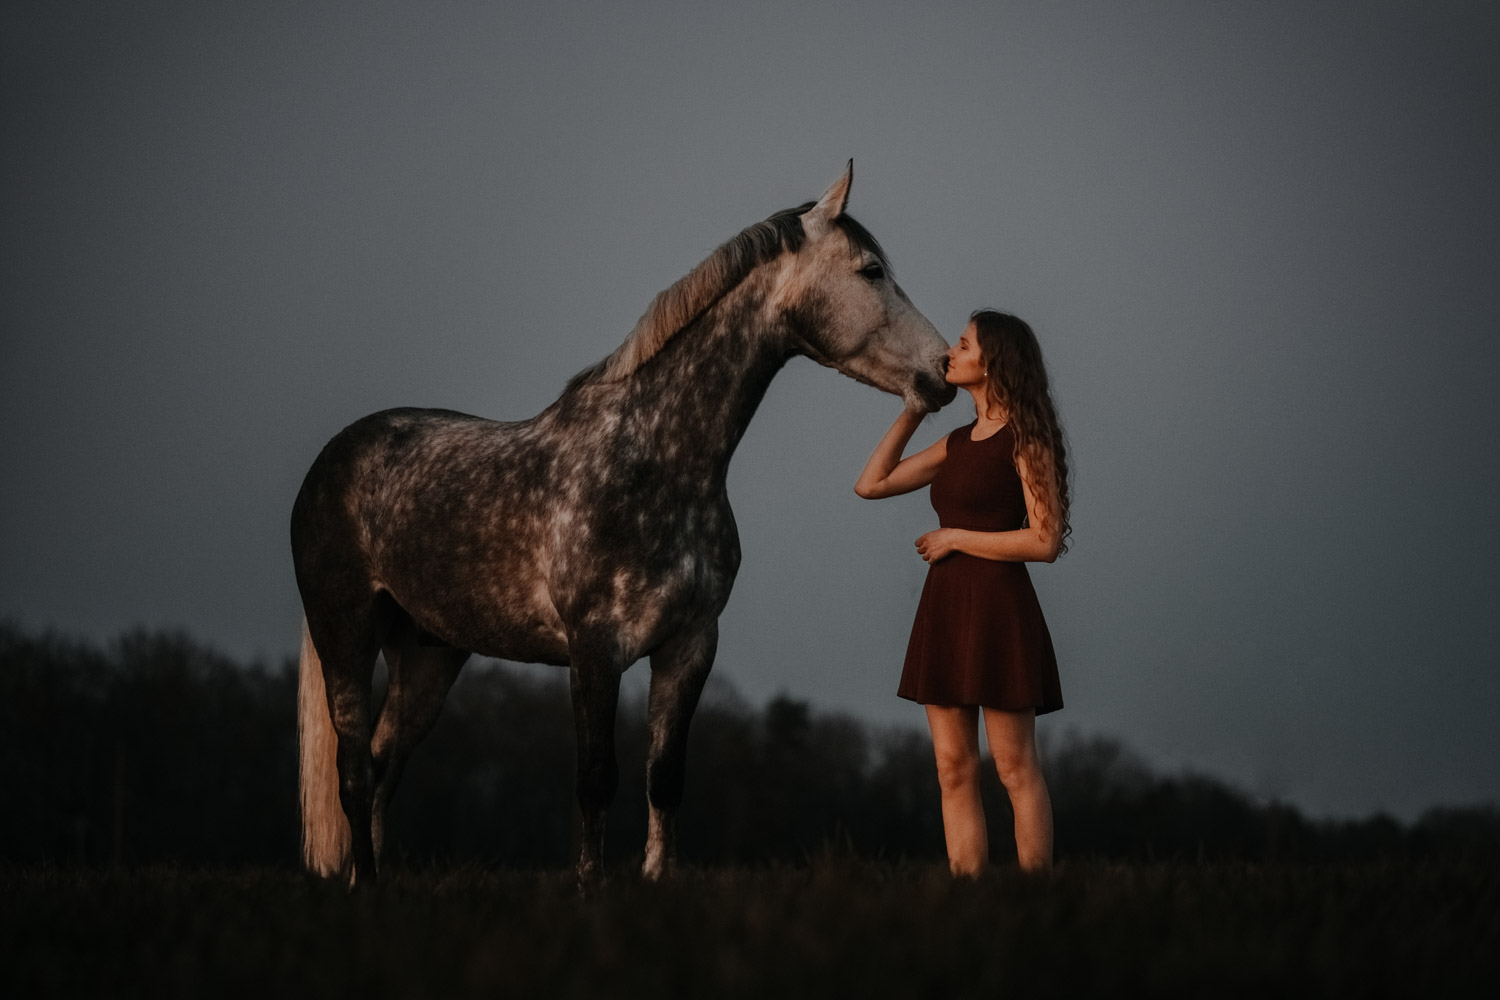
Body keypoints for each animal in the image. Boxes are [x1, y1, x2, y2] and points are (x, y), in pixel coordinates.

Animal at [286, 160, 954, 887]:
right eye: (870, 271)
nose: (945, 371)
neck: (652, 461)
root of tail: (333, 459)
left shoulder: (690, 645)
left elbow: (664, 777)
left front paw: (655, 880)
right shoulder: (595, 648)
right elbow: (596, 779)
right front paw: (590, 888)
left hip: (429, 651)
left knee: (385, 765)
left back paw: (371, 879)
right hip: (346, 632)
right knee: (355, 770)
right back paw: (365, 884)